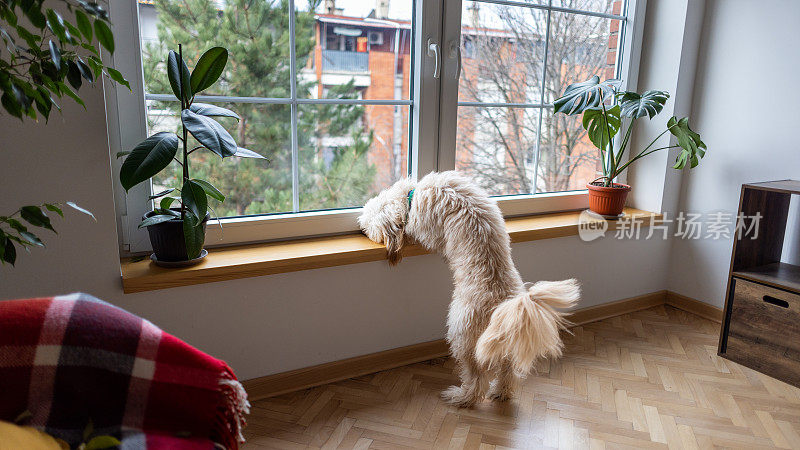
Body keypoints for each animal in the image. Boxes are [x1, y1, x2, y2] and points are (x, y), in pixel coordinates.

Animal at [360, 171, 580, 406]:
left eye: (370, 224)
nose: (362, 230)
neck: (413, 194)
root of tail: (504, 306)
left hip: (461, 335)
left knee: (477, 378)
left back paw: (461, 396)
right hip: (501, 340)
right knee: (507, 370)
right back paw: (501, 392)